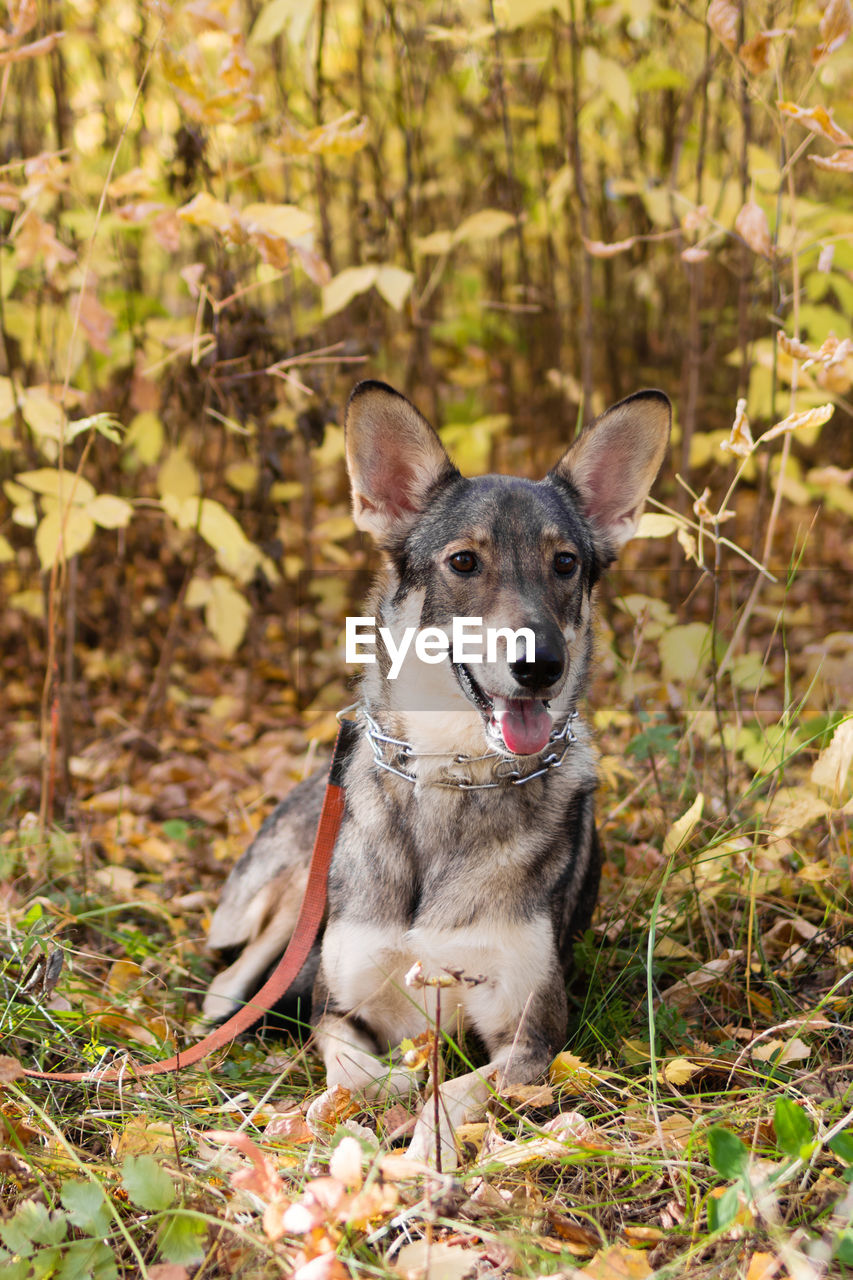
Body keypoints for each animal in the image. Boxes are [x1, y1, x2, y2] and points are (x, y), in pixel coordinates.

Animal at [202, 373, 666, 1167]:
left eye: (565, 564)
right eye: (464, 563)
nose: (541, 665)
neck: (454, 777)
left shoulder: (530, 1040)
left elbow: (449, 1091)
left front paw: (418, 1160)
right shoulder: (341, 1009)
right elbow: (362, 1073)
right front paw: (368, 1122)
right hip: (295, 900)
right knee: (230, 985)